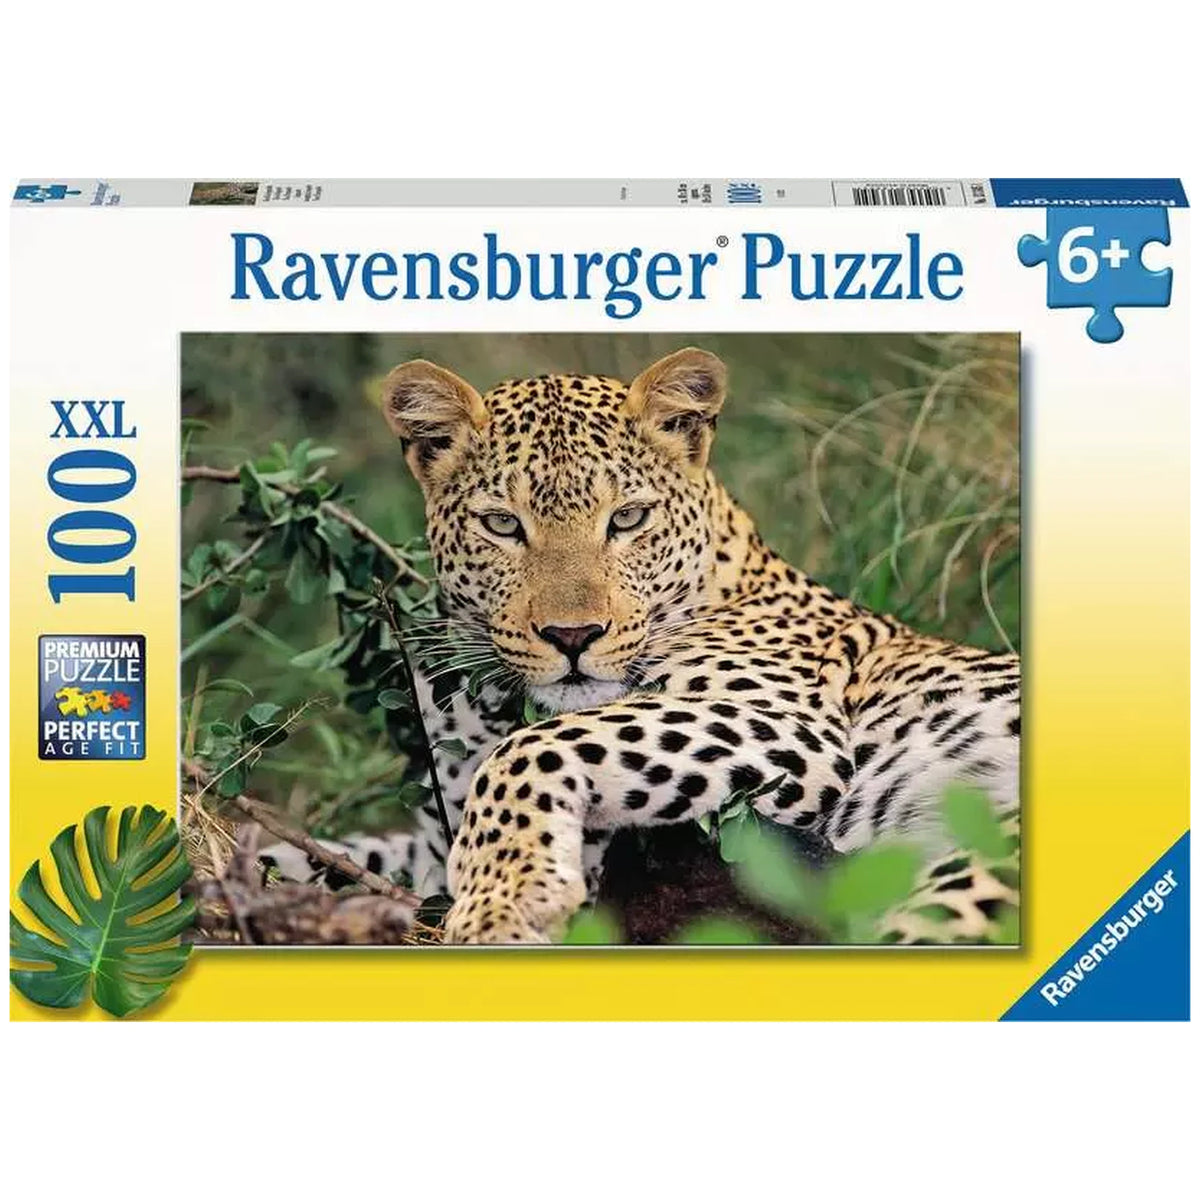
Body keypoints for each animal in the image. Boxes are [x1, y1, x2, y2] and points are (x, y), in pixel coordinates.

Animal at [261, 347, 1020, 945]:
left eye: (627, 519)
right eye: (503, 525)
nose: (572, 636)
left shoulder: (790, 726)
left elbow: (534, 747)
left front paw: (505, 900)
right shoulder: (429, 839)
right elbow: (328, 853)